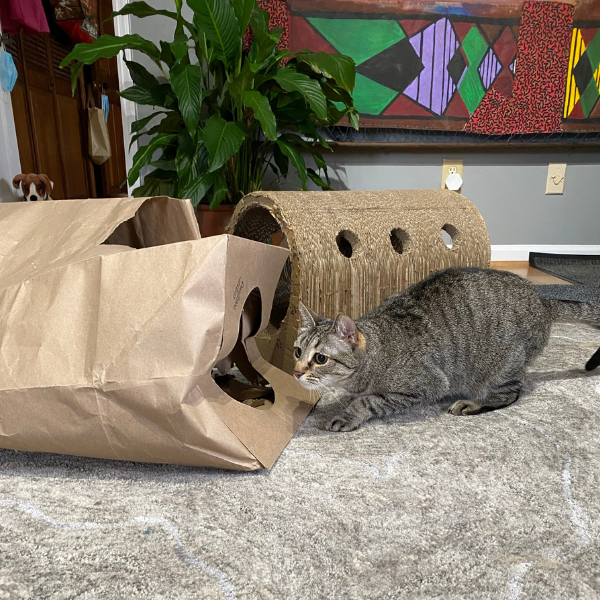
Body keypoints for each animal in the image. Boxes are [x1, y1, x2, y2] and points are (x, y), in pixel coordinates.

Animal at [292, 268, 600, 432]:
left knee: (510, 394)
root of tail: (542, 301)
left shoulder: (426, 385)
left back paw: (473, 403)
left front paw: (348, 414)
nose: (295, 373)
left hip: (500, 368)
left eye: (320, 358)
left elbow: (368, 401)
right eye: (297, 352)